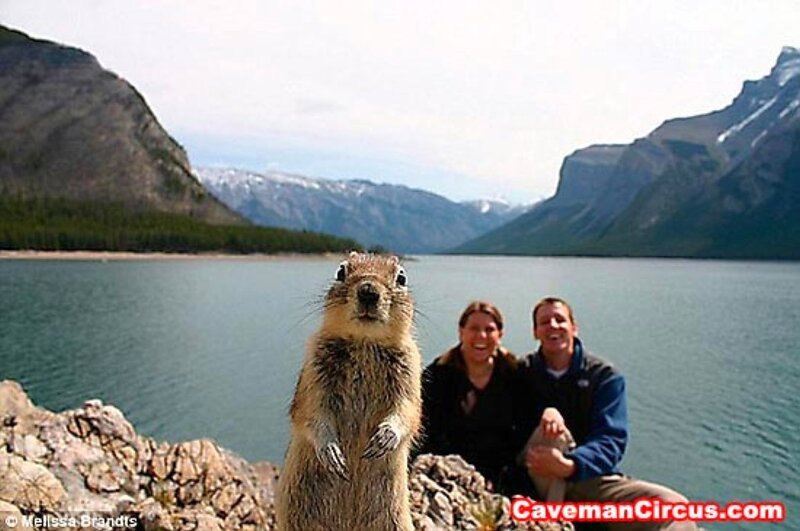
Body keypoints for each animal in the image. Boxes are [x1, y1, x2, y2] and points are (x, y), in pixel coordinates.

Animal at [276, 252, 422, 531]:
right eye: (340, 271)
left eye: (401, 277)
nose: (368, 291)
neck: (365, 341)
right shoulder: (314, 372)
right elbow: (311, 413)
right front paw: (332, 452)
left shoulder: (410, 372)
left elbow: (407, 411)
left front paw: (384, 439)